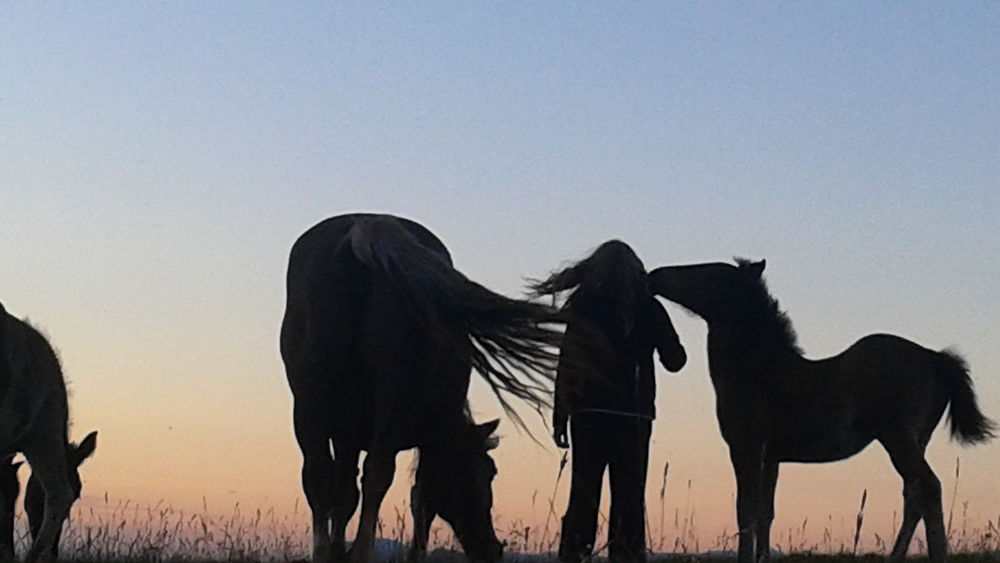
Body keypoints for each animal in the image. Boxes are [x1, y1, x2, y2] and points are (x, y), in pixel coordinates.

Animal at [280, 213, 563, 563]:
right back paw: (361, 552)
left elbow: (345, 495)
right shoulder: (435, 437)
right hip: (389, 404)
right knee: (377, 476)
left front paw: (336, 552)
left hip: (310, 408)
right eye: (489, 471)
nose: (491, 549)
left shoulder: (347, 437)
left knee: (319, 477)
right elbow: (422, 499)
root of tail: (364, 225)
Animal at [648, 259, 995, 563]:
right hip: (916, 439)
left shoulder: (745, 448)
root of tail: (934, 357)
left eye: (710, 274)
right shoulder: (771, 457)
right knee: (913, 495)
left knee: (928, 487)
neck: (760, 371)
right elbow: (765, 513)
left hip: (897, 437)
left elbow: (745, 511)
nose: (655, 274)